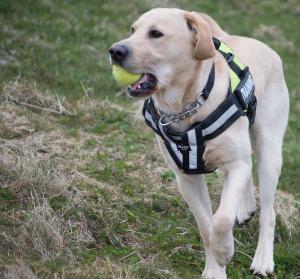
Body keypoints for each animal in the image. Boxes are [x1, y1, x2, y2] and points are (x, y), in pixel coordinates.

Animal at [108, 7, 288, 278]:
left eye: (156, 33)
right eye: (133, 30)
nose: (115, 51)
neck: (185, 106)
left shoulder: (236, 165)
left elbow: (221, 219)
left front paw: (225, 250)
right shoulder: (187, 178)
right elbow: (207, 226)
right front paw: (215, 268)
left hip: (269, 150)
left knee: (268, 211)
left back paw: (263, 258)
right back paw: (245, 207)